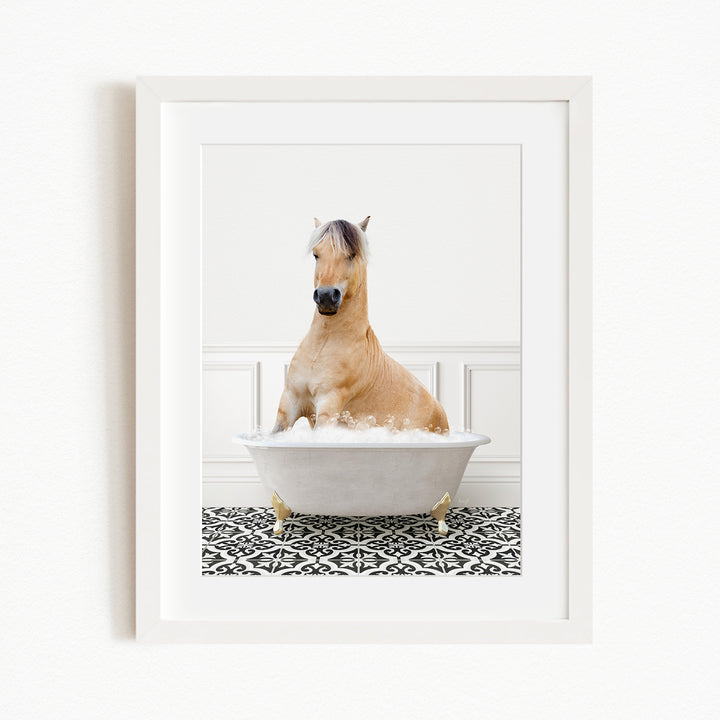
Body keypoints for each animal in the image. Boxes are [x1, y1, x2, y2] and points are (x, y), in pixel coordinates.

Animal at [272, 217, 449, 434]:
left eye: (351, 255)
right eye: (316, 254)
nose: (326, 296)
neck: (322, 346)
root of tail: (441, 412)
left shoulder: (328, 406)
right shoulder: (289, 404)